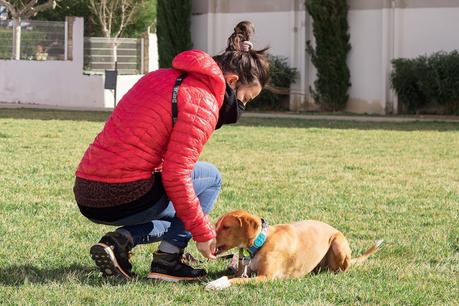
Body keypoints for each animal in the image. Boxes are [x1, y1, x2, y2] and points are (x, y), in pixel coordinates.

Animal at [207, 209, 382, 290]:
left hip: (338, 244)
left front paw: (216, 285)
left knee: (341, 269)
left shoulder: (266, 277)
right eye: (217, 224)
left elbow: (235, 280)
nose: (208, 237)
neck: (262, 242)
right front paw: (216, 281)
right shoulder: (244, 272)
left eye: (226, 227)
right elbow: (228, 275)